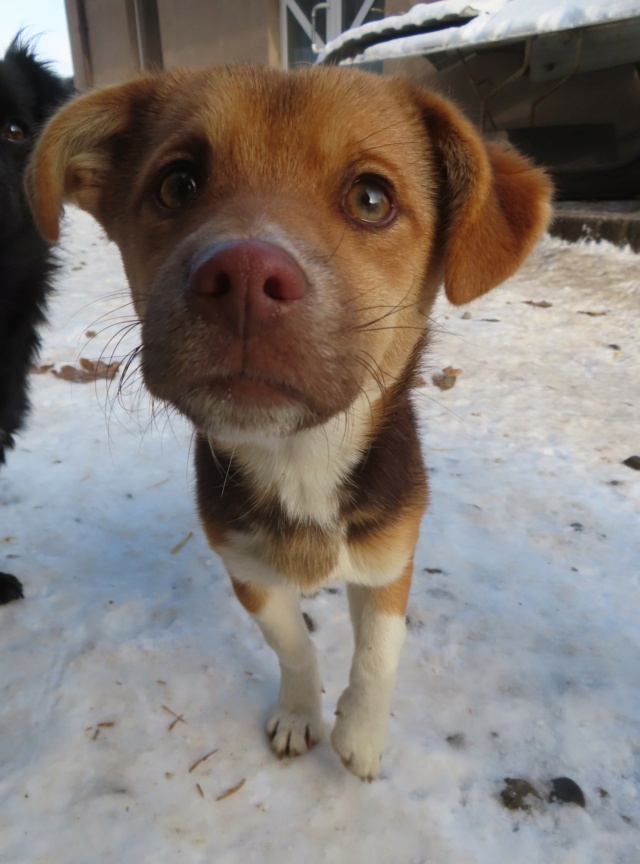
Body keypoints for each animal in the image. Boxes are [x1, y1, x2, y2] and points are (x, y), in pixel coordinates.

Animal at [27, 66, 552, 784]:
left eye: (371, 198)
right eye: (177, 184)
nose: (244, 277)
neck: (299, 460)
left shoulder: (389, 558)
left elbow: (378, 652)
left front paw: (359, 735)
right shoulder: (248, 570)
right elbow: (293, 645)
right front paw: (302, 715)